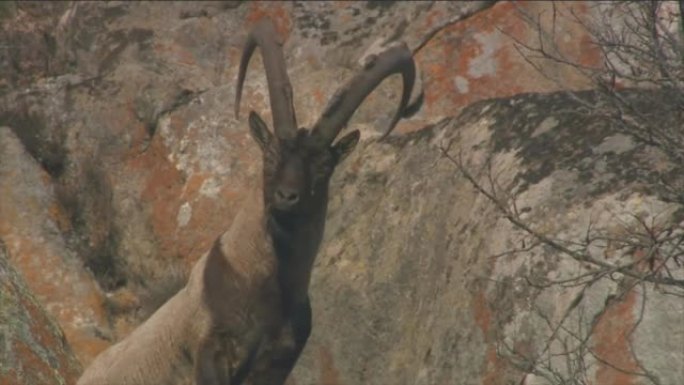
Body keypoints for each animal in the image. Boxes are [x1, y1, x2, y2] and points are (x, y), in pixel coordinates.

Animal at [73, 18, 416, 384]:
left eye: (324, 165)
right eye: (270, 154)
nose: (286, 196)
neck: (266, 284)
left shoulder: (276, 362)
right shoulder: (212, 349)